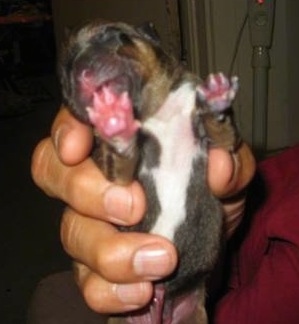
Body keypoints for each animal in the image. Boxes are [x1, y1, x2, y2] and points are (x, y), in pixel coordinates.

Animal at [59, 20, 240, 324]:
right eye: (64, 69)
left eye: (114, 35)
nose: (81, 72)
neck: (156, 112)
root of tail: (160, 298)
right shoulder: (117, 176)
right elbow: (119, 165)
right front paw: (115, 121)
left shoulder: (225, 146)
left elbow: (224, 135)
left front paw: (216, 99)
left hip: (194, 311)